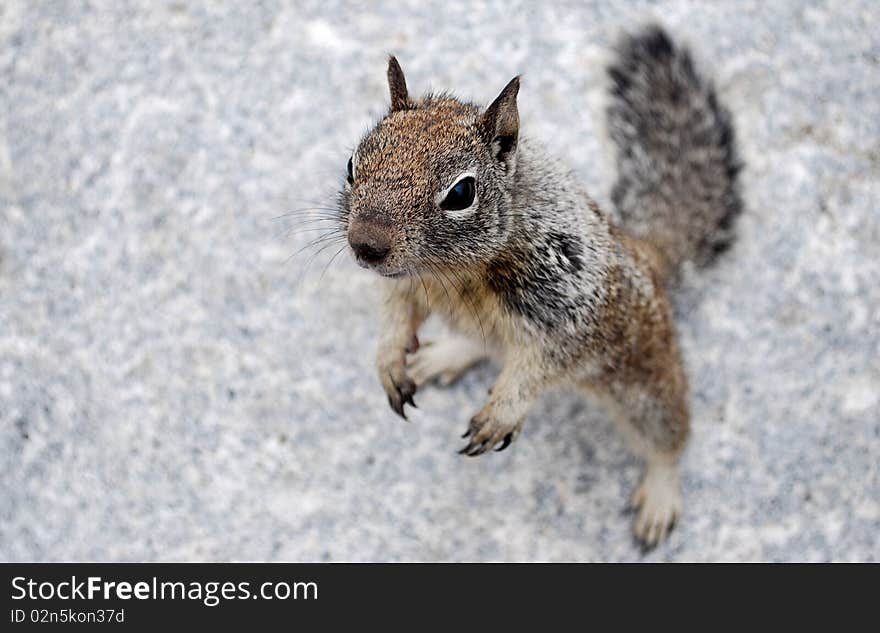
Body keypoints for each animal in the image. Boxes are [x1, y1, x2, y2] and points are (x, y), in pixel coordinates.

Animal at [336, 25, 744, 548]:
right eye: (352, 163)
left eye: (461, 193)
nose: (365, 244)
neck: (454, 271)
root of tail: (647, 253)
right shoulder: (404, 287)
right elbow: (393, 316)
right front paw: (388, 359)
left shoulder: (572, 306)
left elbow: (543, 364)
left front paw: (502, 413)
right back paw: (444, 355)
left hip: (646, 384)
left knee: (668, 438)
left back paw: (661, 494)